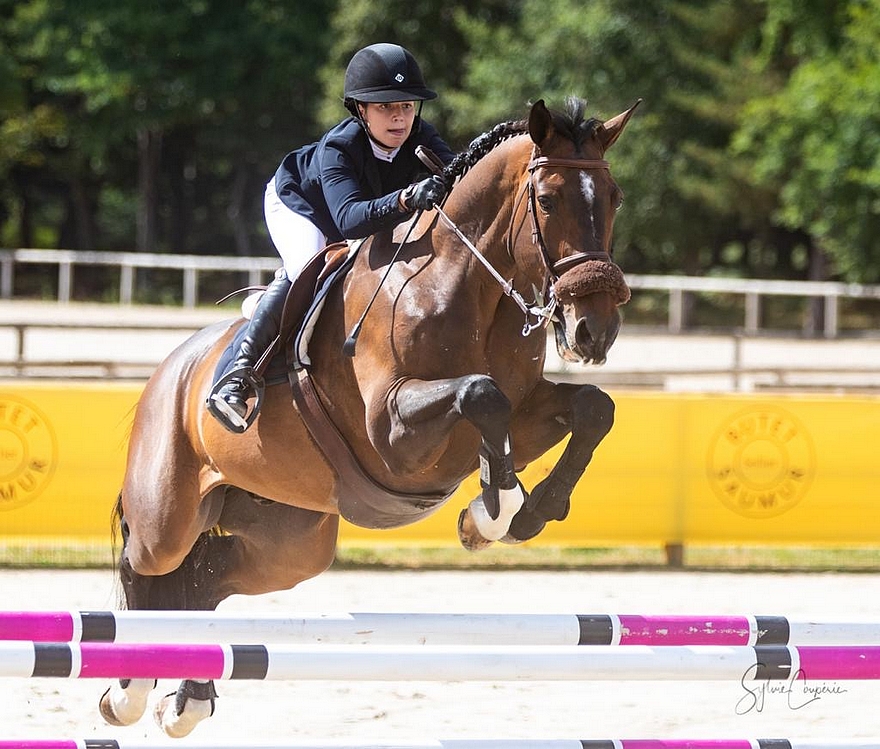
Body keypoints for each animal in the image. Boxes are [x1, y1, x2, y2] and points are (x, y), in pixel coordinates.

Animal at [101, 95, 640, 736]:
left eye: (614, 198)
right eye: (549, 199)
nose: (595, 330)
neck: (463, 286)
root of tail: (169, 371)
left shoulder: (524, 409)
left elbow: (591, 408)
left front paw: (522, 513)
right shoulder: (392, 431)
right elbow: (481, 395)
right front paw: (491, 513)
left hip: (289, 542)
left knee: (207, 577)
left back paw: (188, 698)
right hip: (169, 514)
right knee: (145, 562)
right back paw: (130, 691)